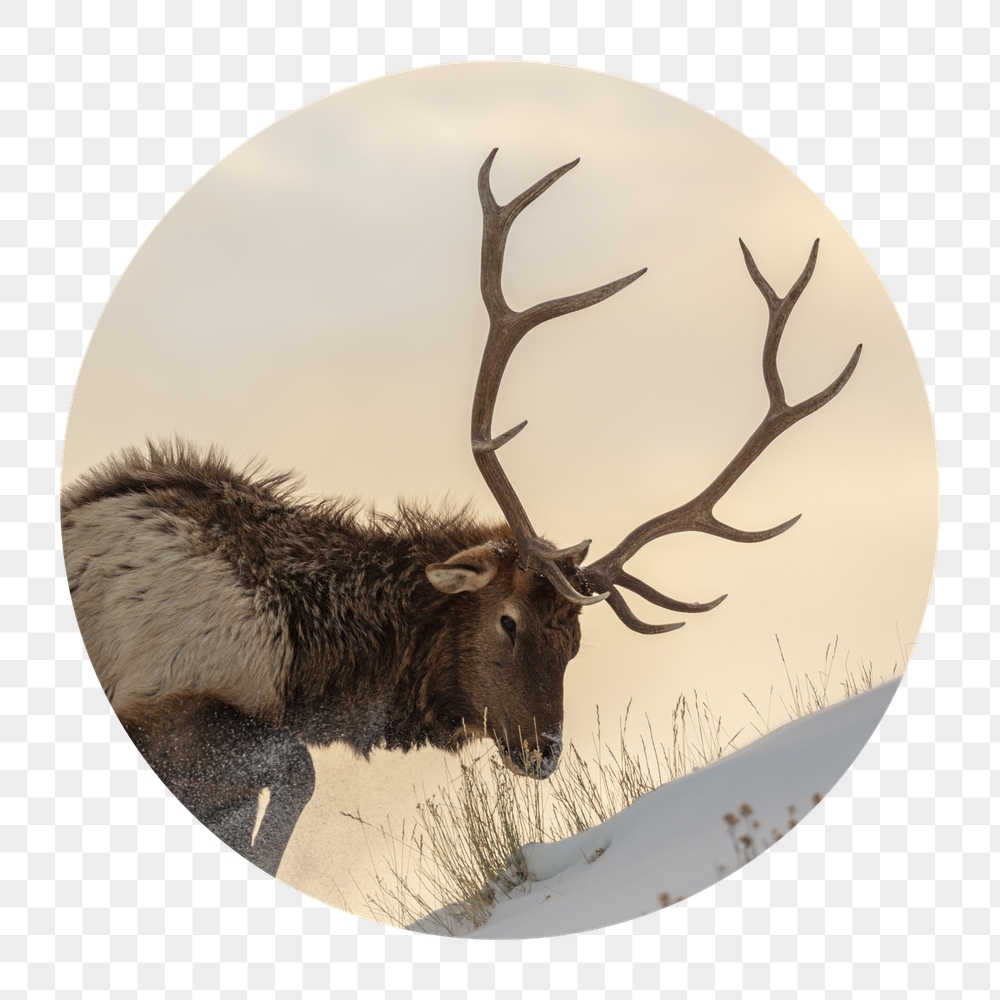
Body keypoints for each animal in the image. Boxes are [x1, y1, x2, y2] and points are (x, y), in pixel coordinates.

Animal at [61, 149, 862, 877]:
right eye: (507, 621)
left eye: (575, 641)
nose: (543, 751)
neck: (304, 660)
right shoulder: (165, 704)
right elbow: (297, 774)